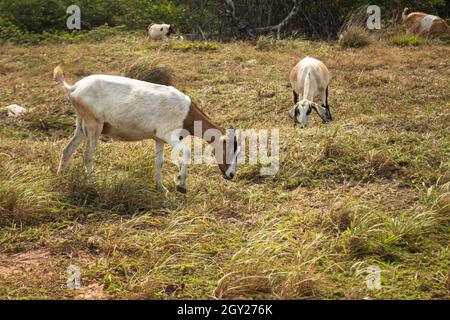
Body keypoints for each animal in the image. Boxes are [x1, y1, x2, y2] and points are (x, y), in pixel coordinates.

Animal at [52, 66, 243, 194]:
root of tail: (73, 88)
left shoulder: (159, 139)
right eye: (229, 148)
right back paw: (92, 183)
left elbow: (159, 162)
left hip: (81, 126)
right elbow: (188, 152)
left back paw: (59, 177)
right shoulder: (169, 135)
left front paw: (161, 187)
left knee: (67, 150)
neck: (186, 111)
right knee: (88, 154)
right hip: (94, 126)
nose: (231, 174)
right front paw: (180, 185)